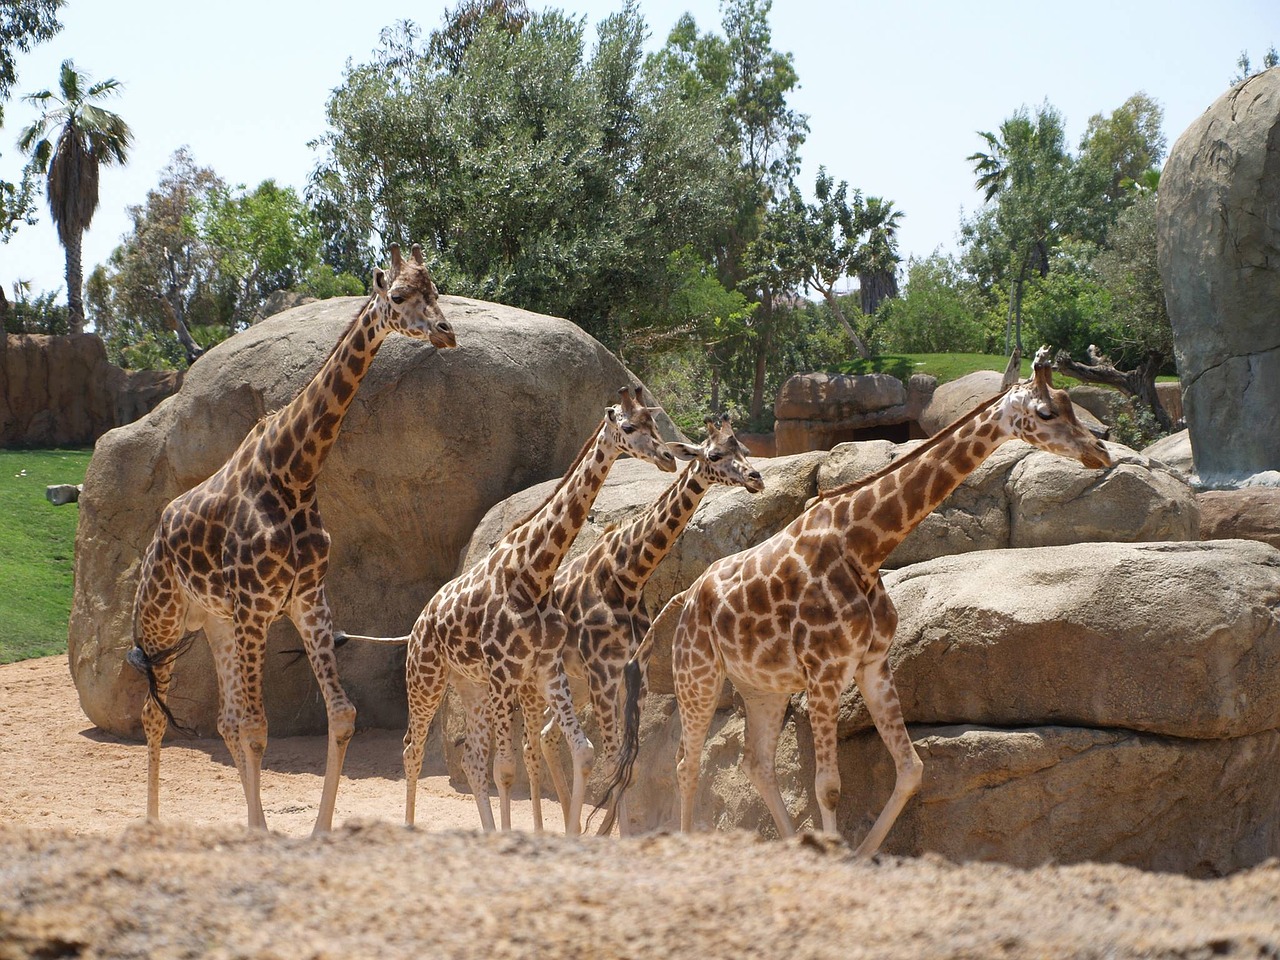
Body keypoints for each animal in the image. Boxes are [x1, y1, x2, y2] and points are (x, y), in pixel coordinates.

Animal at [126, 244, 455, 839]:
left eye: (436, 291)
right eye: (398, 297)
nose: (446, 332)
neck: (295, 473)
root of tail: (155, 538)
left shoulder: (307, 601)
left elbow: (341, 716)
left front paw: (318, 829)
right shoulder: (259, 606)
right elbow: (259, 727)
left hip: (217, 624)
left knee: (224, 719)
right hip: (162, 618)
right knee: (155, 712)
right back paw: (153, 823)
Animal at [399, 386, 680, 839]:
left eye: (654, 422)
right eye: (627, 426)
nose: (669, 458)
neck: (532, 574)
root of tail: (422, 618)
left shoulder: (546, 668)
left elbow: (581, 752)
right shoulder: (504, 672)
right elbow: (506, 768)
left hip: (470, 685)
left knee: (471, 759)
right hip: (426, 676)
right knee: (413, 748)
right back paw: (409, 828)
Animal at [527, 414, 757, 834]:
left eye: (745, 450)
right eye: (715, 454)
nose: (756, 477)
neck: (628, 574)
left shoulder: (633, 673)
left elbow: (627, 767)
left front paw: (613, 833)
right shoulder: (603, 674)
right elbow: (614, 761)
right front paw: (614, 834)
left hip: (576, 683)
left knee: (548, 736)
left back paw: (571, 827)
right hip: (539, 680)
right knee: (526, 739)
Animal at [599, 353, 1111, 855]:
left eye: (1069, 403)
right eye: (1046, 412)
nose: (1101, 450)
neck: (864, 546)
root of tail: (685, 597)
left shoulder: (872, 663)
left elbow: (912, 769)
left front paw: (859, 852)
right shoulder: (825, 674)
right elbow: (828, 787)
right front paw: (837, 848)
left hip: (762, 686)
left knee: (756, 763)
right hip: (698, 674)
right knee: (687, 763)